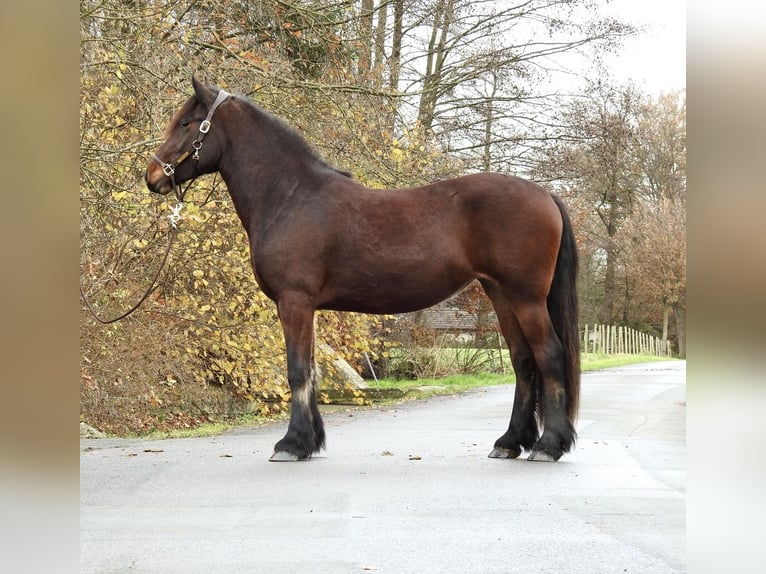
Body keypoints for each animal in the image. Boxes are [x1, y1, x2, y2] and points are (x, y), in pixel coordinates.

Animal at [147, 77, 584, 464]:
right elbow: (311, 371)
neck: (290, 196)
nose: (151, 176)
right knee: (523, 361)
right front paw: (310, 442)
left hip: (526, 297)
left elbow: (297, 371)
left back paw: (548, 446)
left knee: (549, 356)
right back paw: (509, 443)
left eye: (186, 123)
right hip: (501, 294)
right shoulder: (306, 308)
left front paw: (291, 445)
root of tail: (545, 193)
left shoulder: (294, 302)